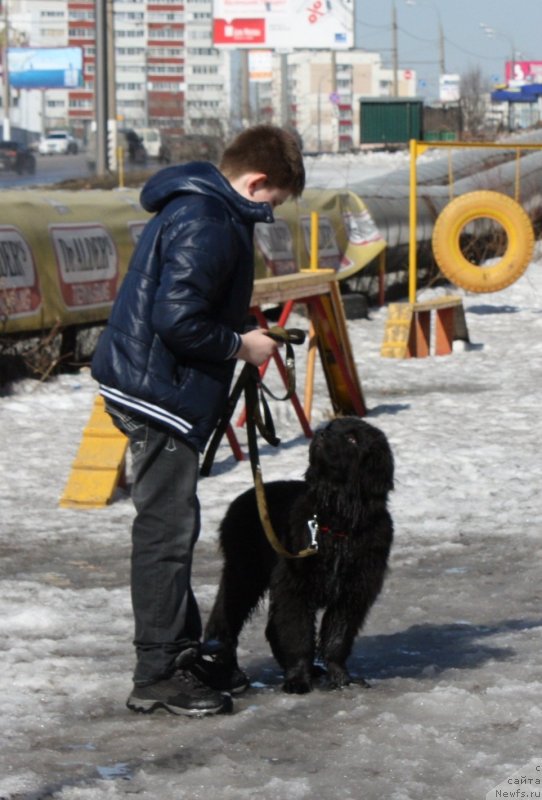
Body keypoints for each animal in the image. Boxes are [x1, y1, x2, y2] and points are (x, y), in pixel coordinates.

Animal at [205, 416, 396, 692]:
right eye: (332, 427)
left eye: (352, 439)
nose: (321, 433)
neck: (337, 523)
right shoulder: (293, 585)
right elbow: (298, 635)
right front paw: (297, 680)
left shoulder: (354, 591)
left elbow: (337, 636)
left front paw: (341, 678)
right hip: (244, 573)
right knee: (224, 622)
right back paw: (231, 672)